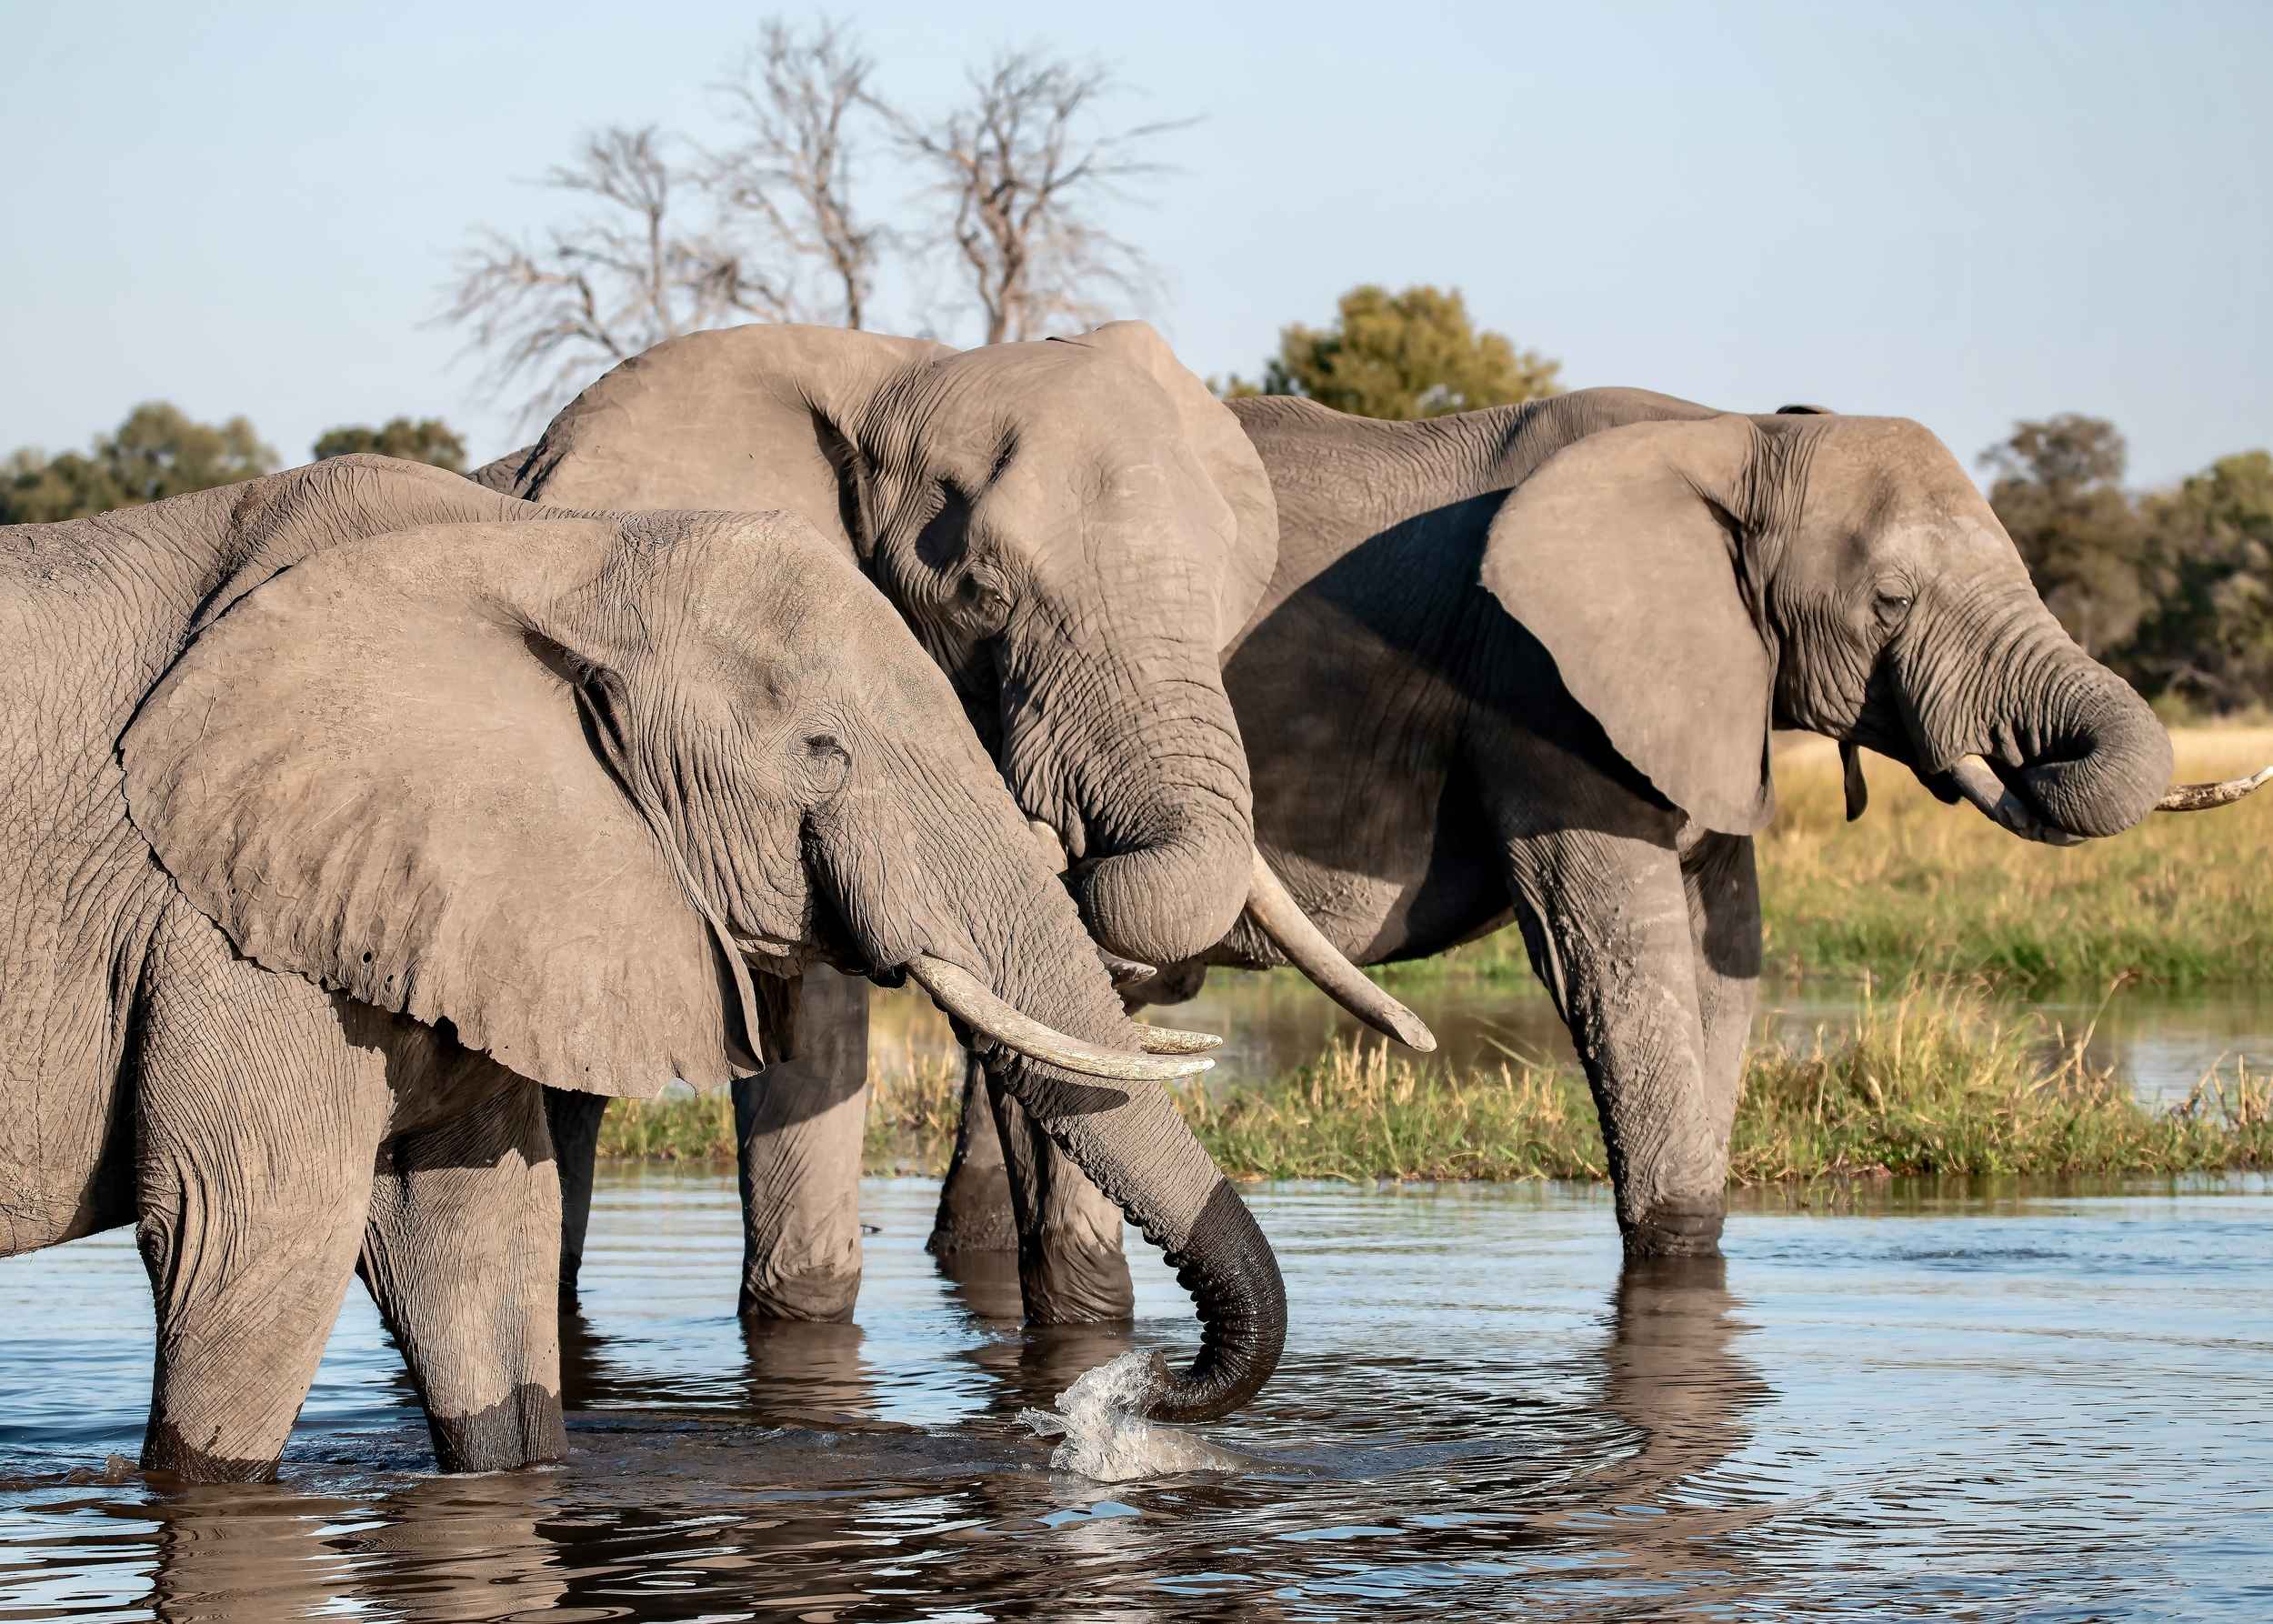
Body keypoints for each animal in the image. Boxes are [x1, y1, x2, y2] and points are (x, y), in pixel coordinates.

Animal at [0, 454, 1285, 1483]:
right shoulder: (220, 919)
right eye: (821, 750)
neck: (551, 553)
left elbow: (474, 1236)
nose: (1125, 1393)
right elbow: (253, 1228)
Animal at [911, 388, 2264, 1265]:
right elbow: (1621, 962)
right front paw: (1670, 1253)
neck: (1736, 434)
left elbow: (1727, 955)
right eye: (1889, 600)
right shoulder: (1540, 682)